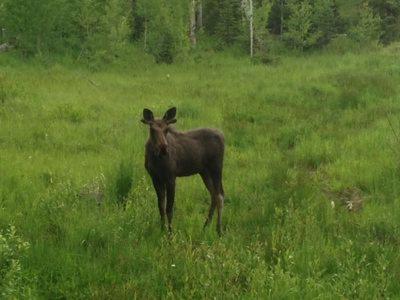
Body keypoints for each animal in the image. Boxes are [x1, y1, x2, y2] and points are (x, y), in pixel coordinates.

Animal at [141, 106, 225, 236]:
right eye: (152, 129)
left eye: (166, 129)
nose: (163, 147)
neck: (156, 159)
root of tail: (223, 136)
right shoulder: (155, 178)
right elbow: (161, 207)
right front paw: (162, 230)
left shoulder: (171, 177)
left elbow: (169, 208)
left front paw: (170, 234)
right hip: (204, 172)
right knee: (214, 195)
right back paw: (205, 226)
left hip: (216, 168)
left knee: (220, 195)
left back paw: (219, 230)